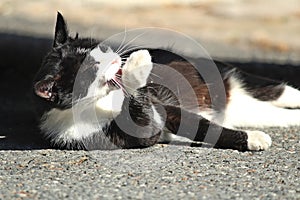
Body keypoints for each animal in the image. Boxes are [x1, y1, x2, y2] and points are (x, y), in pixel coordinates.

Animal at [32, 12, 300, 151]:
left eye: (98, 48)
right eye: (90, 68)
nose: (115, 58)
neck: (102, 101)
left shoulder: (163, 107)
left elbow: (196, 123)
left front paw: (138, 63)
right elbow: (157, 126)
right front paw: (255, 138)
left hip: (228, 75)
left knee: (279, 89)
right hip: (251, 110)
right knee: (279, 114)